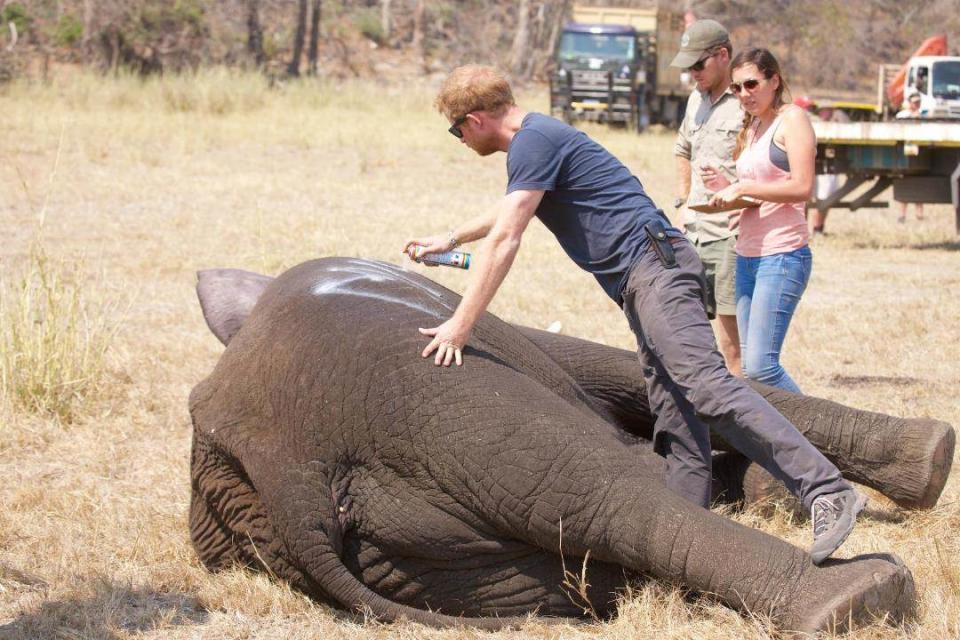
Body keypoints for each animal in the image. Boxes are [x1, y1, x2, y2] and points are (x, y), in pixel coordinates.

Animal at [189, 256, 952, 636]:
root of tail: (285, 473)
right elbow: (626, 371)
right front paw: (933, 454)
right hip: (422, 389)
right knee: (603, 492)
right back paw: (861, 597)